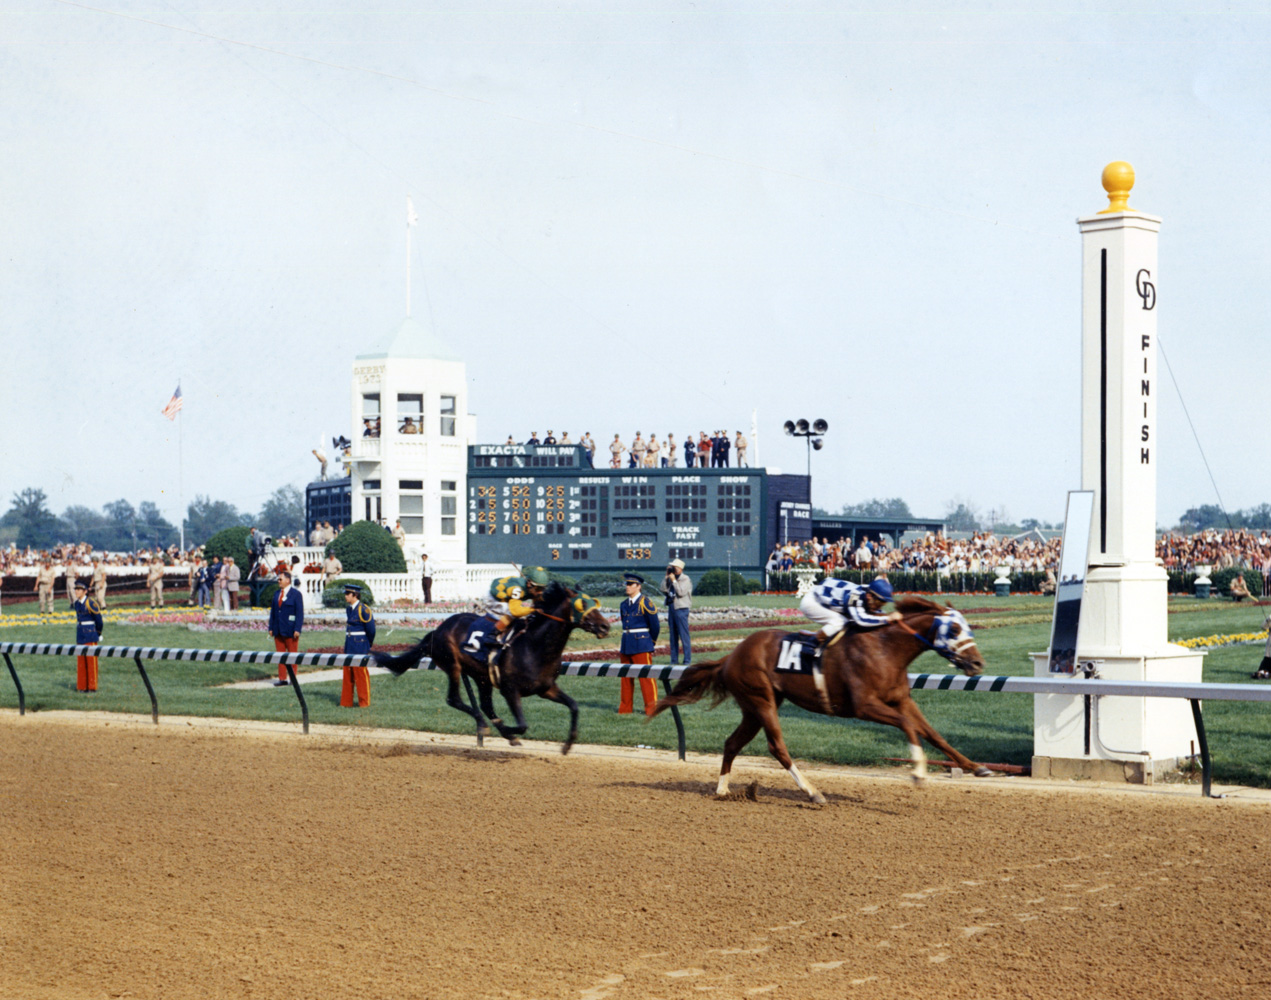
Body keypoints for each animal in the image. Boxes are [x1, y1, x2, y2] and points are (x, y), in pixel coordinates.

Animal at [371, 581, 610, 757]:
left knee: (485, 705)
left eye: (594, 602)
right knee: (455, 699)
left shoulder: (546, 688)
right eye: (581, 604)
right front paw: (508, 731)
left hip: (481, 676)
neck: (534, 645)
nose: (605, 626)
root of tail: (438, 629)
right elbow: (522, 725)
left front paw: (567, 745)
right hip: (453, 665)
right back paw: (485, 725)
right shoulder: (510, 690)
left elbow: (574, 706)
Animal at [655, 594, 991, 808]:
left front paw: (976, 767)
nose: (977, 664)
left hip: (754, 707)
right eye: (955, 628)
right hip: (761, 700)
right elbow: (909, 726)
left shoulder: (901, 700)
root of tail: (731, 655)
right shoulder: (864, 707)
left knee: (732, 743)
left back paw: (723, 789)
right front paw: (918, 773)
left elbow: (933, 734)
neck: (885, 648)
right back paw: (813, 792)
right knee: (777, 747)